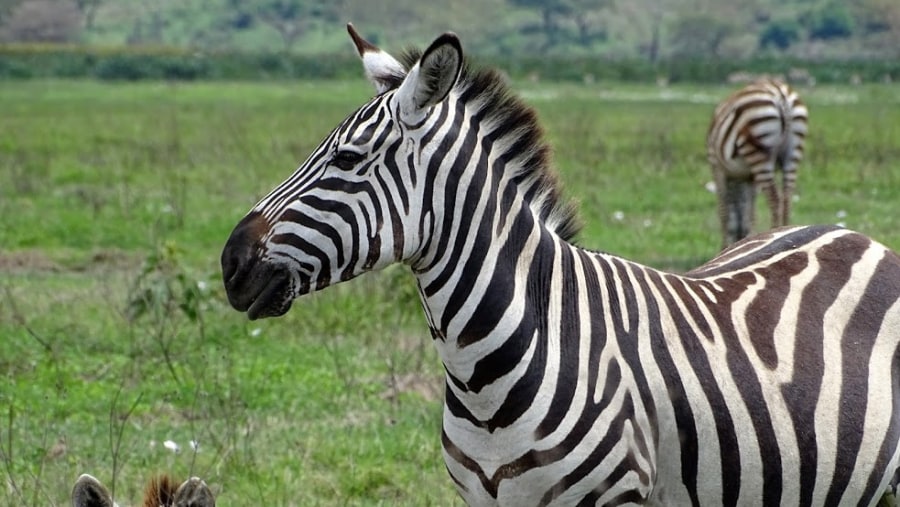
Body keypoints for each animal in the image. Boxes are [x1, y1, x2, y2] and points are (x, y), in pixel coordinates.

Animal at [712, 78, 808, 250]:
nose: (737, 239)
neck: (739, 179)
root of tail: (781, 95)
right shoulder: (749, 177)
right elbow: (749, 210)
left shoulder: (717, 167)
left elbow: (724, 210)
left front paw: (724, 246)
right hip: (793, 152)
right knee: (787, 196)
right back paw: (787, 230)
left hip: (758, 152)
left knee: (774, 198)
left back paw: (776, 232)